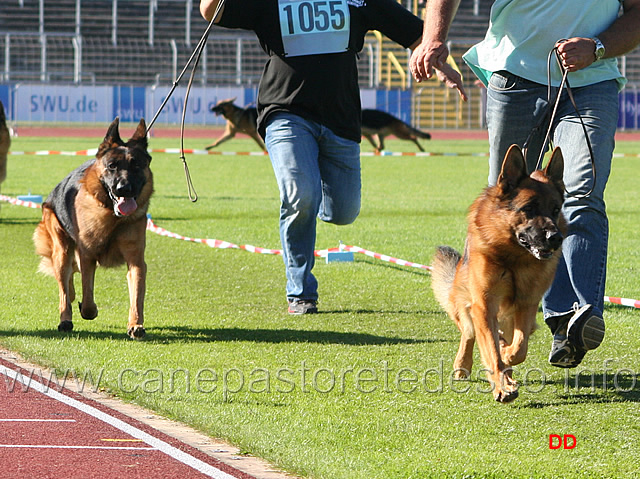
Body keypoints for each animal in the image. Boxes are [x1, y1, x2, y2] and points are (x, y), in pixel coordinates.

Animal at [34, 118, 154, 340]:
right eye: (112, 166)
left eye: (136, 165)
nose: (124, 189)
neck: (113, 217)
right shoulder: (87, 256)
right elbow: (88, 301)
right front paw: (88, 309)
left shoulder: (136, 261)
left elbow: (137, 296)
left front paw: (136, 325)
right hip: (62, 251)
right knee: (64, 287)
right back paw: (65, 319)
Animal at [430, 144, 564, 404]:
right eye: (528, 209)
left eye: (555, 209)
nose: (556, 237)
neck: (513, 258)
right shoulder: (484, 305)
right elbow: (492, 350)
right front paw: (502, 386)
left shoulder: (526, 304)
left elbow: (519, 348)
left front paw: (508, 357)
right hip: (467, 308)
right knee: (469, 333)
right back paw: (464, 365)